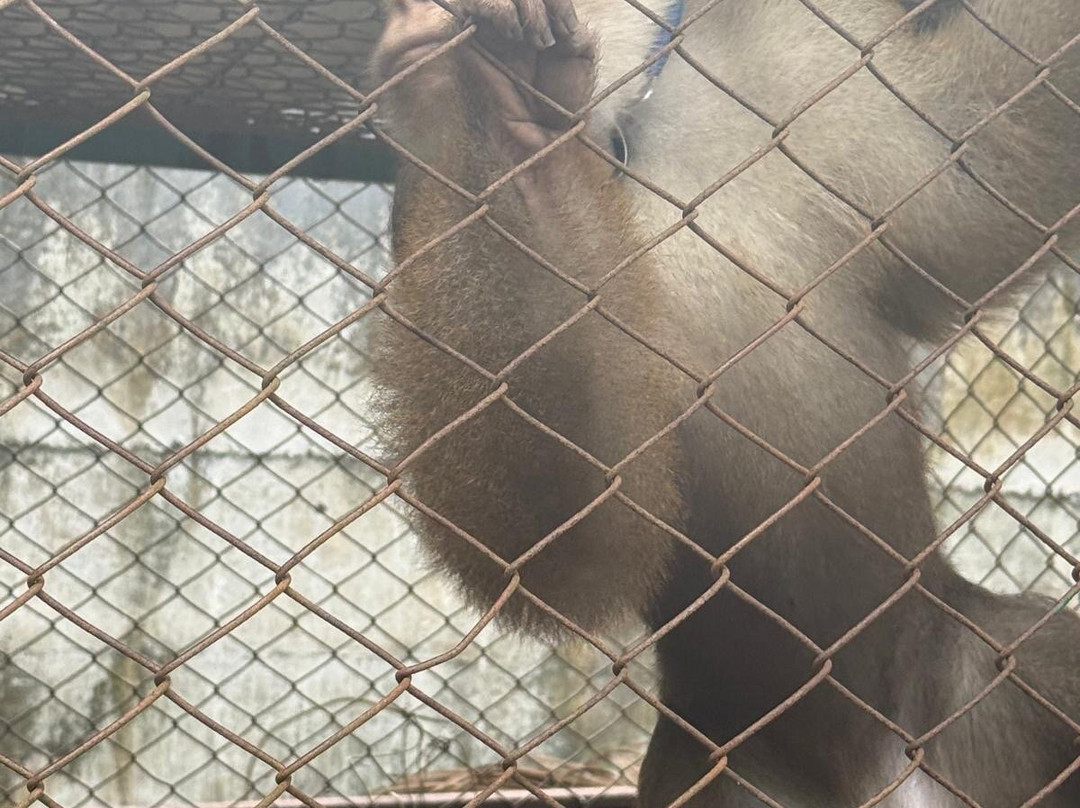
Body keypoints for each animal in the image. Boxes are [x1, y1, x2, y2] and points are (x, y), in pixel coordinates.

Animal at [369, 0, 1080, 805]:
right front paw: (505, 123)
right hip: (731, 764)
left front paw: (513, 101)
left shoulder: (808, 81)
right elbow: (564, 544)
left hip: (968, 672)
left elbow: (982, 149)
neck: (630, 152)